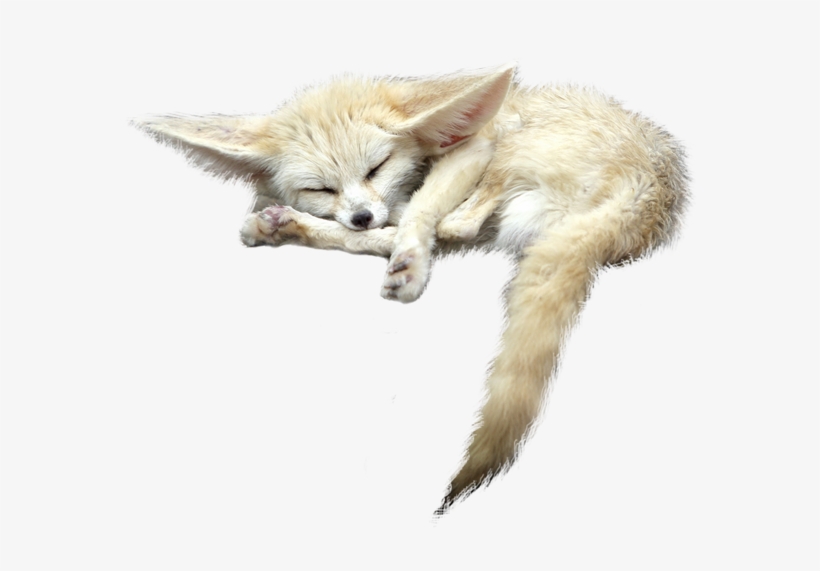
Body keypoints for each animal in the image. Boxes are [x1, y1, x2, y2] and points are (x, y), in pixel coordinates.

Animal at [133, 64, 688, 514]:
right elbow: (397, 223)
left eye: (376, 168)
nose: (361, 214)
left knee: (455, 222)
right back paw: (292, 226)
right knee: (445, 230)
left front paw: (409, 260)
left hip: (511, 147)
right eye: (321, 187)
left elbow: (423, 213)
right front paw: (299, 219)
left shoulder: (471, 148)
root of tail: (650, 195)